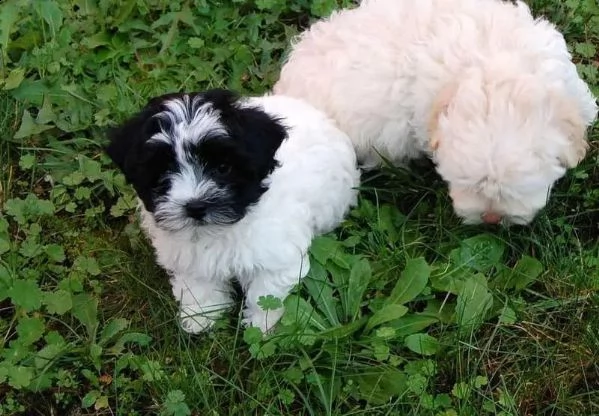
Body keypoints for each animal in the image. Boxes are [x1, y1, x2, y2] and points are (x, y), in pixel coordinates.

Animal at [106, 89, 360, 334]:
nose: (195, 206)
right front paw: (200, 317)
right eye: (163, 174)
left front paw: (262, 327)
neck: (220, 231)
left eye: (223, 168)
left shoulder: (277, 256)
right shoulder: (188, 257)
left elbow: (266, 294)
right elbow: (199, 286)